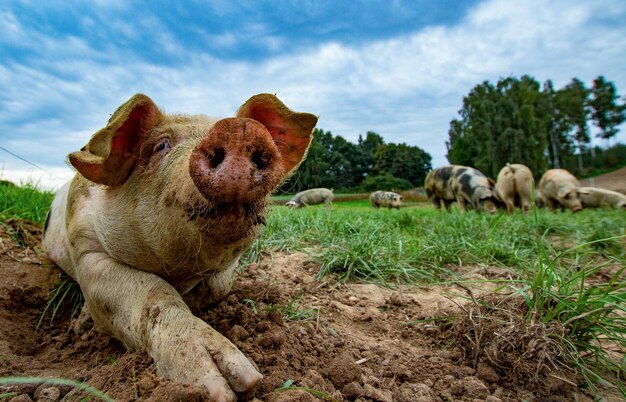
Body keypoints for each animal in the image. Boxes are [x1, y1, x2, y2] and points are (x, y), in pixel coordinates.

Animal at [42, 92, 316, 400]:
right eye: (161, 145)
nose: (237, 128)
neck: (180, 273)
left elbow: (216, 286)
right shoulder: (85, 249)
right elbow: (151, 291)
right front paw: (232, 387)